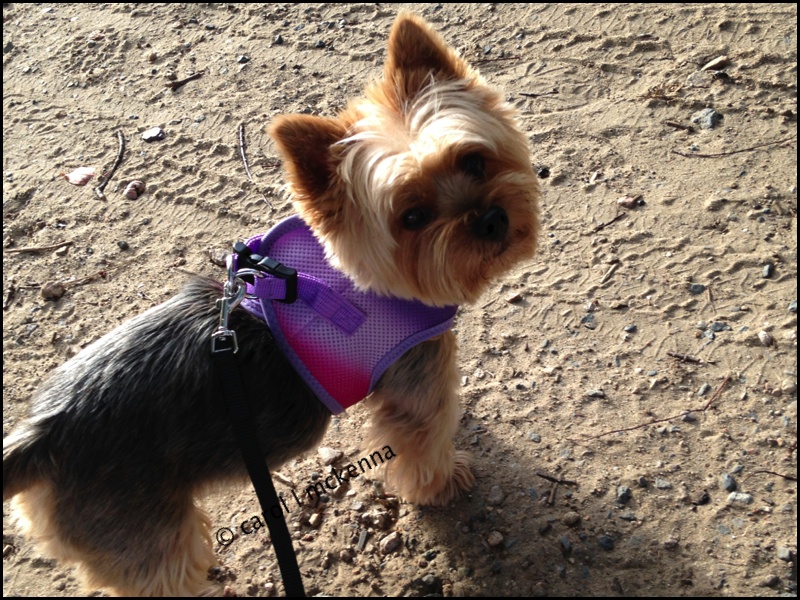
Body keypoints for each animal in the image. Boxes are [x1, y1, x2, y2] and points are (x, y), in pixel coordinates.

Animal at [3, 13, 540, 596]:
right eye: (412, 217)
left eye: (474, 161)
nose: (492, 220)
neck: (364, 279)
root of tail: (41, 436)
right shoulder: (417, 386)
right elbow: (425, 443)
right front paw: (444, 483)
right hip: (149, 539)